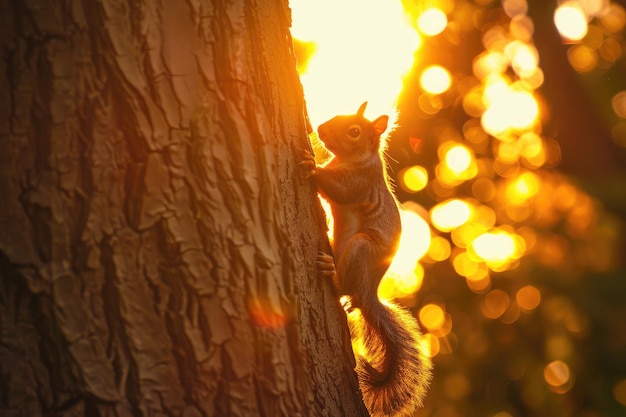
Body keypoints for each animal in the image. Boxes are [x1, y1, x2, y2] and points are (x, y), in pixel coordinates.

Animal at [300, 101, 432, 416]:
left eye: (354, 132)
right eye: (339, 114)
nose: (320, 128)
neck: (356, 159)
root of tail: (368, 290)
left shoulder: (360, 181)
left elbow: (339, 189)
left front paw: (312, 166)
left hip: (360, 248)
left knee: (344, 288)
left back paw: (331, 273)